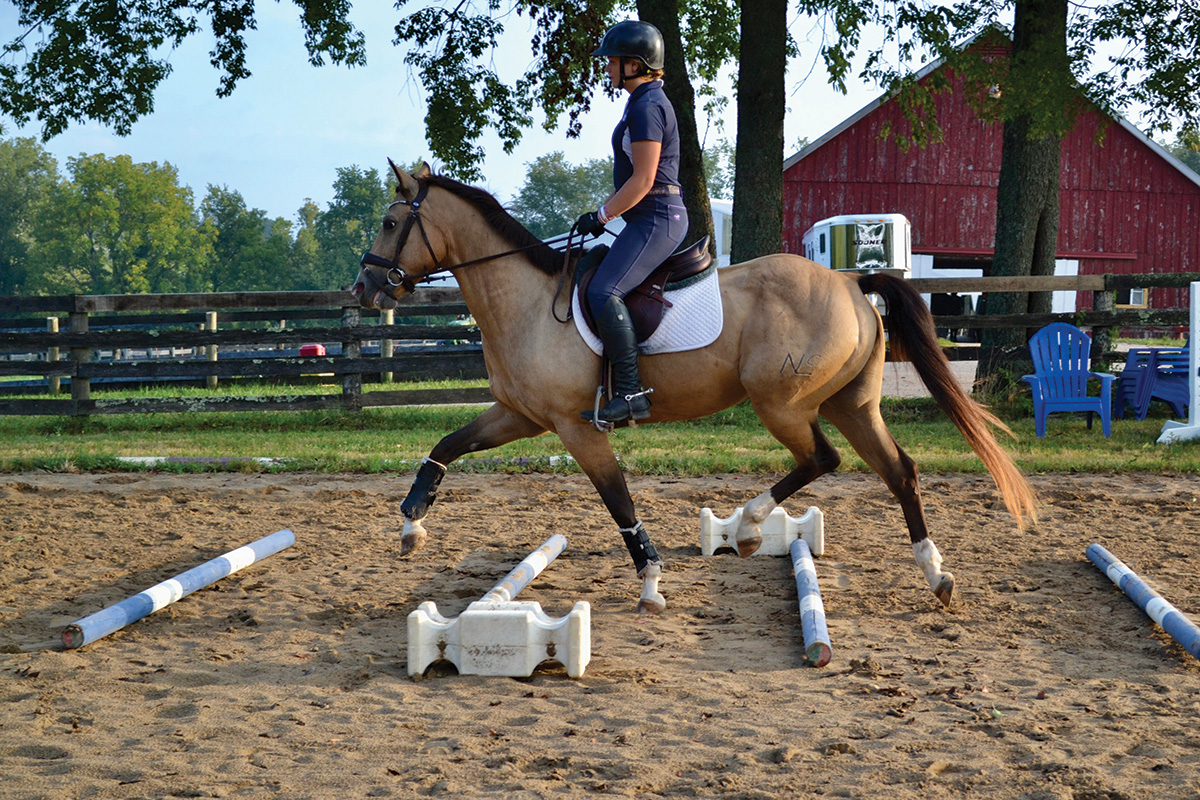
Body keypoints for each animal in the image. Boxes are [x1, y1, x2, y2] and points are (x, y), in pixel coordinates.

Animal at [350, 160, 1036, 614]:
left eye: (388, 221)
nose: (362, 289)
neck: (527, 301)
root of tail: (849, 282)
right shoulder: (521, 415)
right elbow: (447, 444)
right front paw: (411, 524)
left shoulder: (576, 427)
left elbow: (619, 502)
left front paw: (651, 582)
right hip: (851, 404)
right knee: (898, 471)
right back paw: (934, 574)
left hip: (782, 402)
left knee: (823, 457)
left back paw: (750, 525)